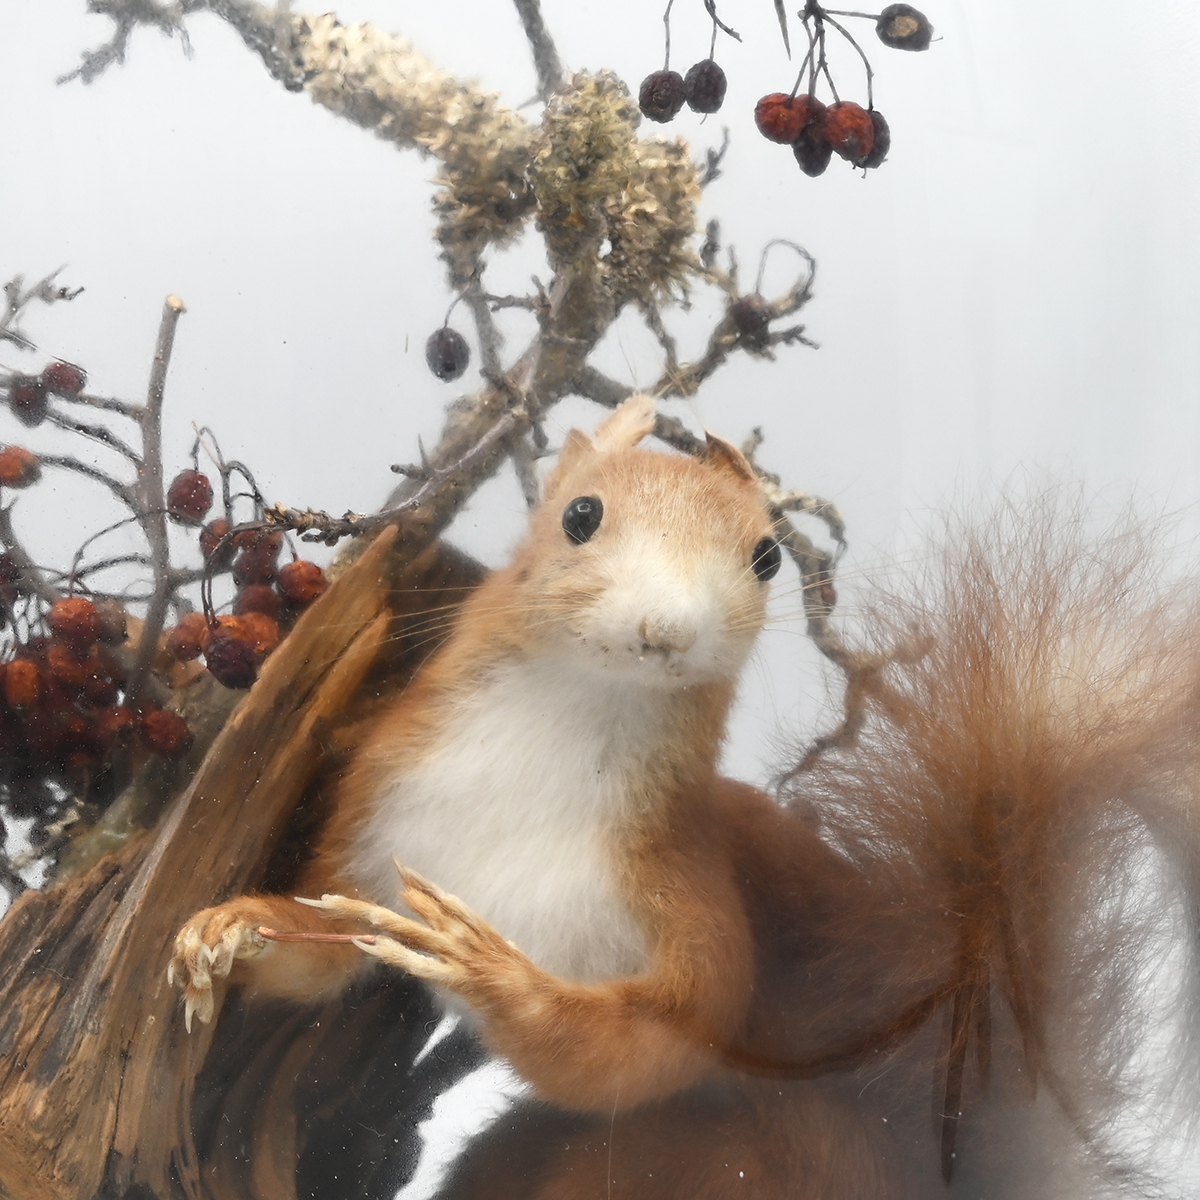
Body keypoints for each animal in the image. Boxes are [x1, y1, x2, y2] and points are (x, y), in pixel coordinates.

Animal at [166, 398, 1200, 1195]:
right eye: (580, 513)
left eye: (767, 557)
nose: (665, 625)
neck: (547, 756)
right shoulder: (383, 823)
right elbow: (323, 945)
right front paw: (227, 929)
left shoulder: (684, 885)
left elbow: (660, 1041)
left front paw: (492, 972)